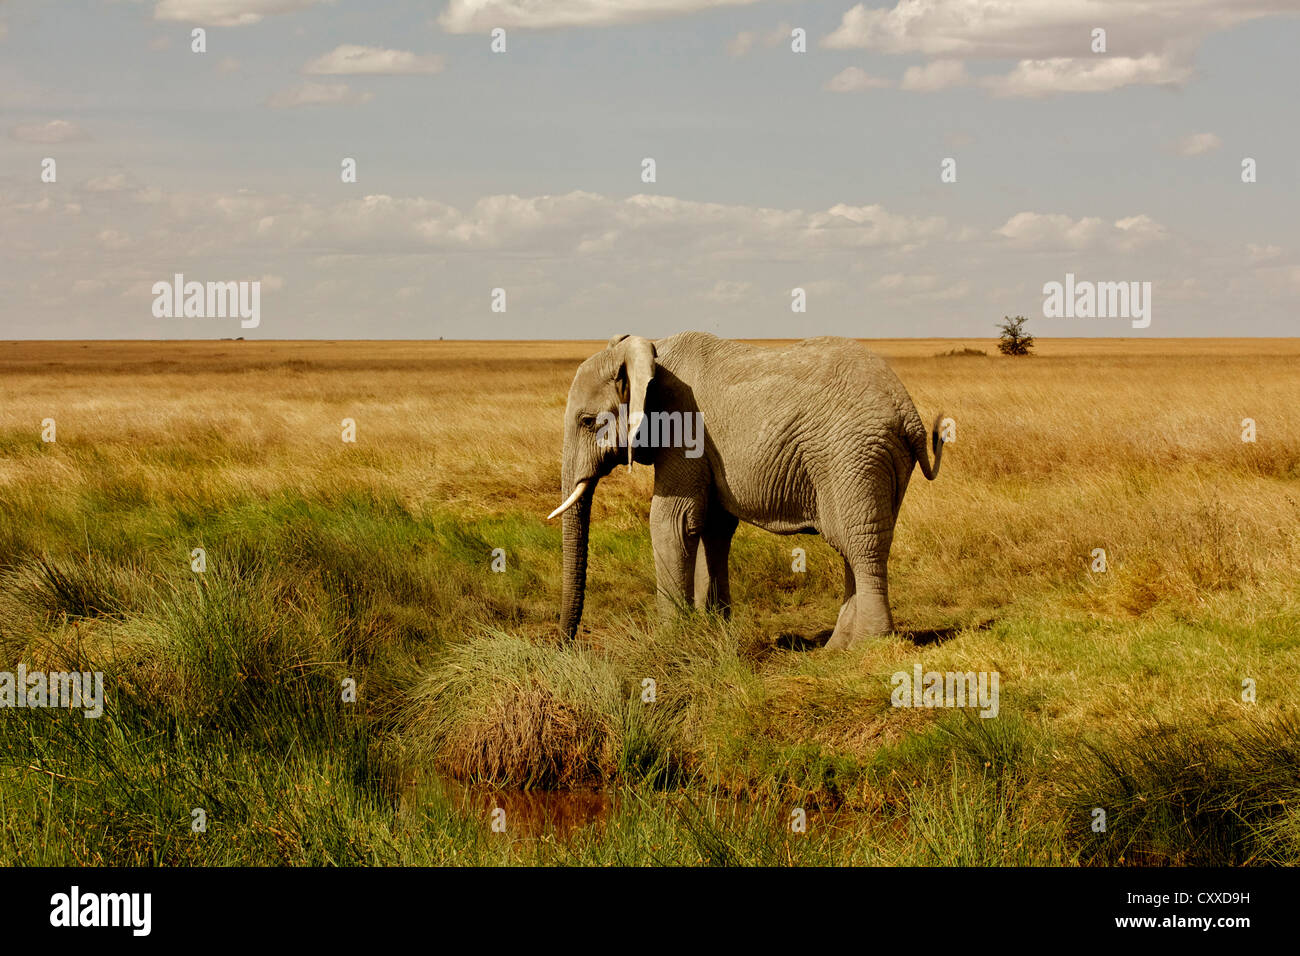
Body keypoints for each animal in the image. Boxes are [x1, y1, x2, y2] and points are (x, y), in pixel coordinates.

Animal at [548, 332, 946, 655]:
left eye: (588, 422)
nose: (564, 645)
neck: (650, 351)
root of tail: (908, 412)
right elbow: (713, 526)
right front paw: (712, 628)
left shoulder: (684, 427)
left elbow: (672, 521)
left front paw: (669, 641)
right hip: (880, 460)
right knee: (858, 541)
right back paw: (838, 647)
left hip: (853, 454)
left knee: (860, 545)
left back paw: (867, 645)